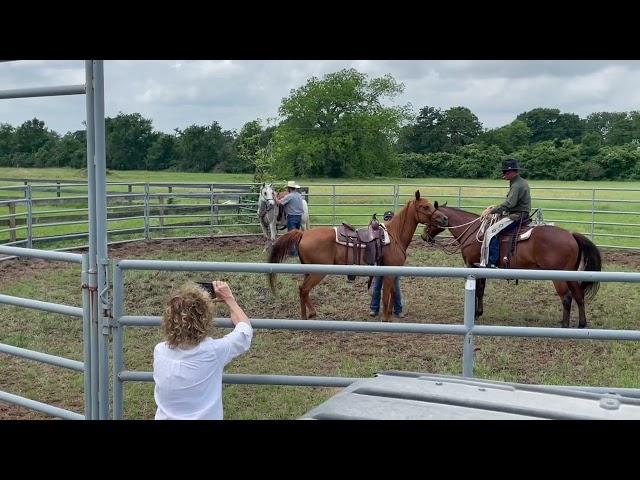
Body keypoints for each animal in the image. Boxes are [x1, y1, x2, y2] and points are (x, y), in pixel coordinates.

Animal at [268, 189, 448, 320]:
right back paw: (306, 316)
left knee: (303, 290)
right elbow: (386, 296)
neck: (394, 235)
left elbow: (391, 294)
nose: (445, 219)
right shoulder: (389, 273)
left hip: (309, 271)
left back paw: (310, 313)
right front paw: (386, 319)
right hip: (317, 272)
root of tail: (303, 233)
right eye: (425, 207)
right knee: (304, 289)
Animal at [422, 201, 604, 328]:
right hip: (571, 274)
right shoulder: (482, 268)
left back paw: (564, 325)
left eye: (432, 216)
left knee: (566, 298)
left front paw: (474, 314)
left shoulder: (472, 266)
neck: (475, 233)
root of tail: (571, 235)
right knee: (579, 296)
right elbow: (481, 290)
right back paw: (581, 324)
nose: (424, 236)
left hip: (558, 276)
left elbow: (477, 290)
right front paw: (479, 312)